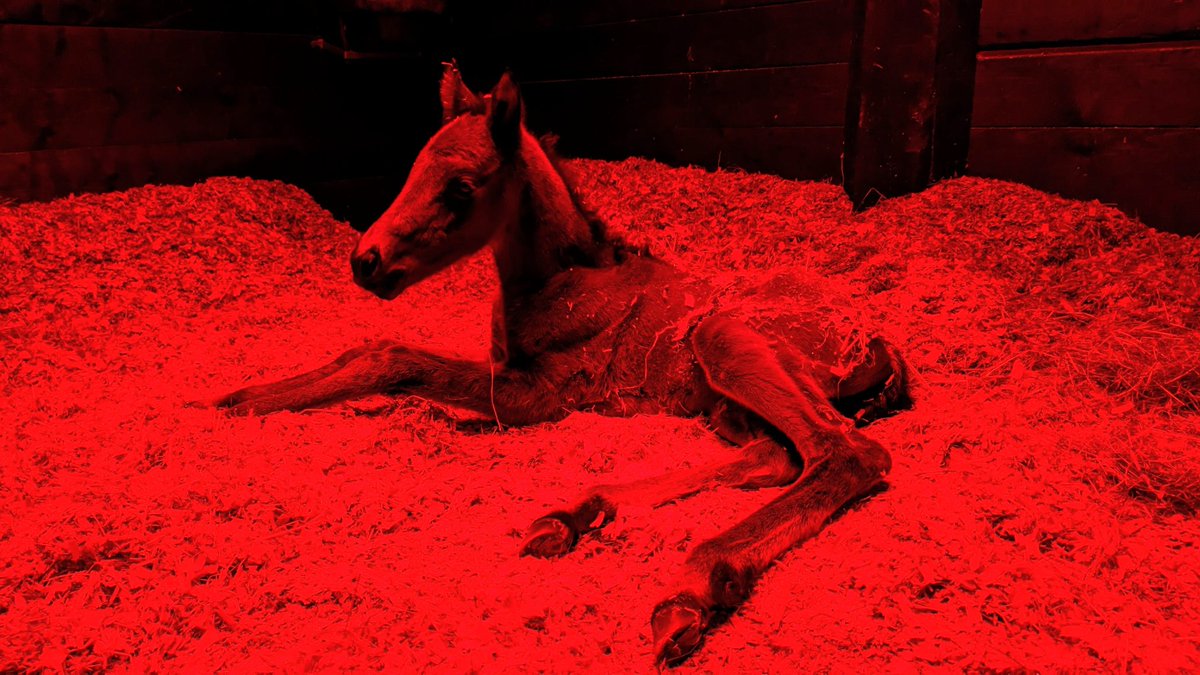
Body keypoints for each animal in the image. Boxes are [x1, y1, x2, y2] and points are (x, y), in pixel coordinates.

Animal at [209, 63, 910, 666]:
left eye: (461, 188)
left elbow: (395, 356)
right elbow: (369, 348)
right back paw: (577, 513)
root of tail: (878, 341)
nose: (366, 262)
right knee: (777, 455)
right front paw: (234, 396)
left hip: (722, 339)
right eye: (412, 169)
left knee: (845, 452)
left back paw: (694, 587)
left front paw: (241, 401)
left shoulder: (539, 397)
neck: (560, 281)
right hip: (727, 405)